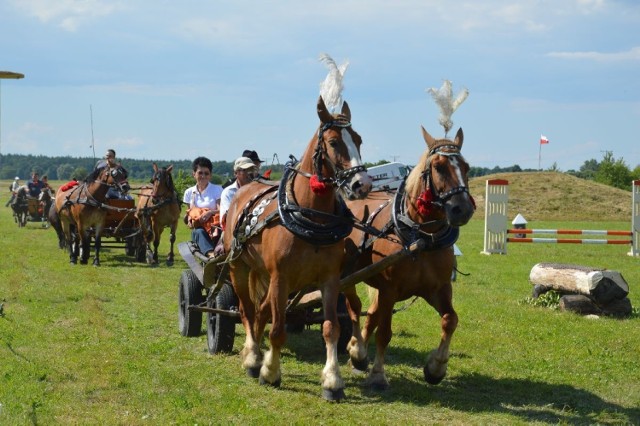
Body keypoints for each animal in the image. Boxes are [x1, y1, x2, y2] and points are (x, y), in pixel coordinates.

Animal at [222, 95, 372, 400]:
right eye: (334, 142)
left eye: (359, 140)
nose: (361, 184)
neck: (311, 216)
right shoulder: (281, 278)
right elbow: (278, 330)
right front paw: (270, 372)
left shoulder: (330, 279)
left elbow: (331, 327)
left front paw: (332, 380)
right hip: (238, 267)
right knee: (247, 310)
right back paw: (253, 357)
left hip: (263, 274)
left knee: (261, 310)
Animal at [340, 125, 476, 390]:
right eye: (438, 167)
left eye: (466, 167)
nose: (462, 209)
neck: (420, 236)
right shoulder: (389, 289)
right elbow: (385, 333)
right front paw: (378, 375)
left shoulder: (438, 288)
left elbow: (450, 320)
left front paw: (436, 367)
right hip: (348, 276)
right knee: (355, 309)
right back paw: (358, 351)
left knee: (370, 315)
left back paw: (357, 354)